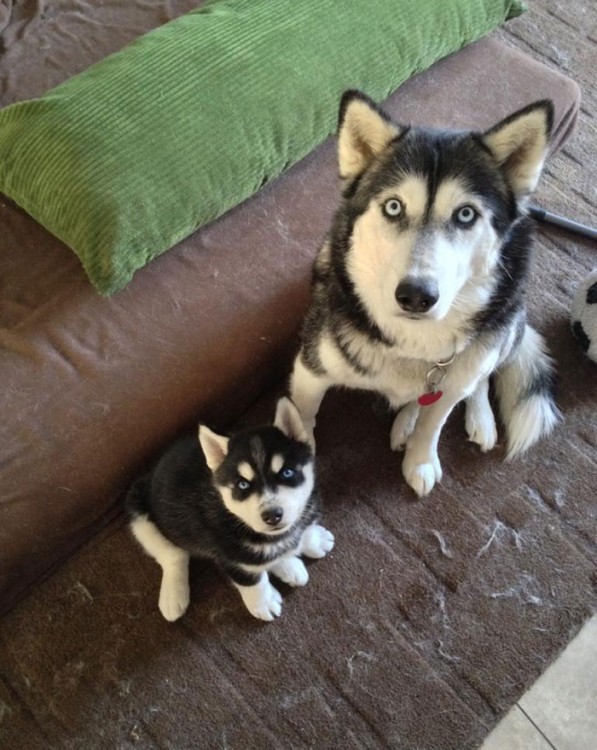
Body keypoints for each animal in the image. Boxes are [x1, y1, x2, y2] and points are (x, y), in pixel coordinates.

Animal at [125, 400, 332, 624]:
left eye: (287, 472)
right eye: (242, 485)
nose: (272, 515)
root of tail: (151, 474)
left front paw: (311, 539)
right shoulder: (227, 553)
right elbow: (251, 579)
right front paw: (263, 602)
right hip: (139, 513)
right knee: (173, 556)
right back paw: (173, 596)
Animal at [288, 89, 560, 500]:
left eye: (466, 214)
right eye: (393, 206)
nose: (416, 295)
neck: (414, 346)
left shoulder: (451, 383)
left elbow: (435, 422)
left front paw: (419, 460)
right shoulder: (311, 369)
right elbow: (303, 419)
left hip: (506, 326)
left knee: (477, 379)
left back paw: (473, 418)